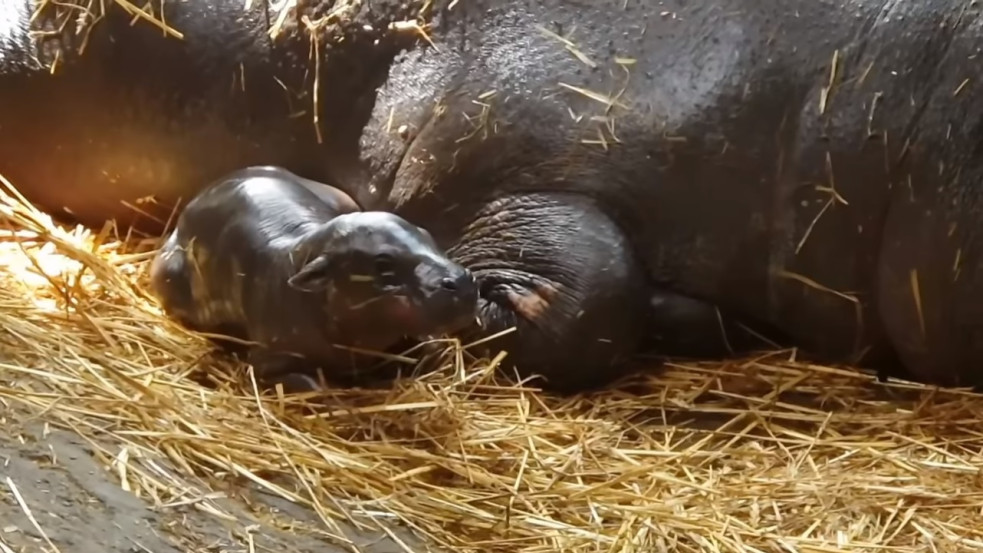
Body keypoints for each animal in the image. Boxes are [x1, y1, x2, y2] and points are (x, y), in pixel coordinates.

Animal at [147, 165, 480, 392]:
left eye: (426, 234)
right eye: (383, 263)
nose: (463, 282)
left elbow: (429, 350)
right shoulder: (269, 359)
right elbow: (312, 385)